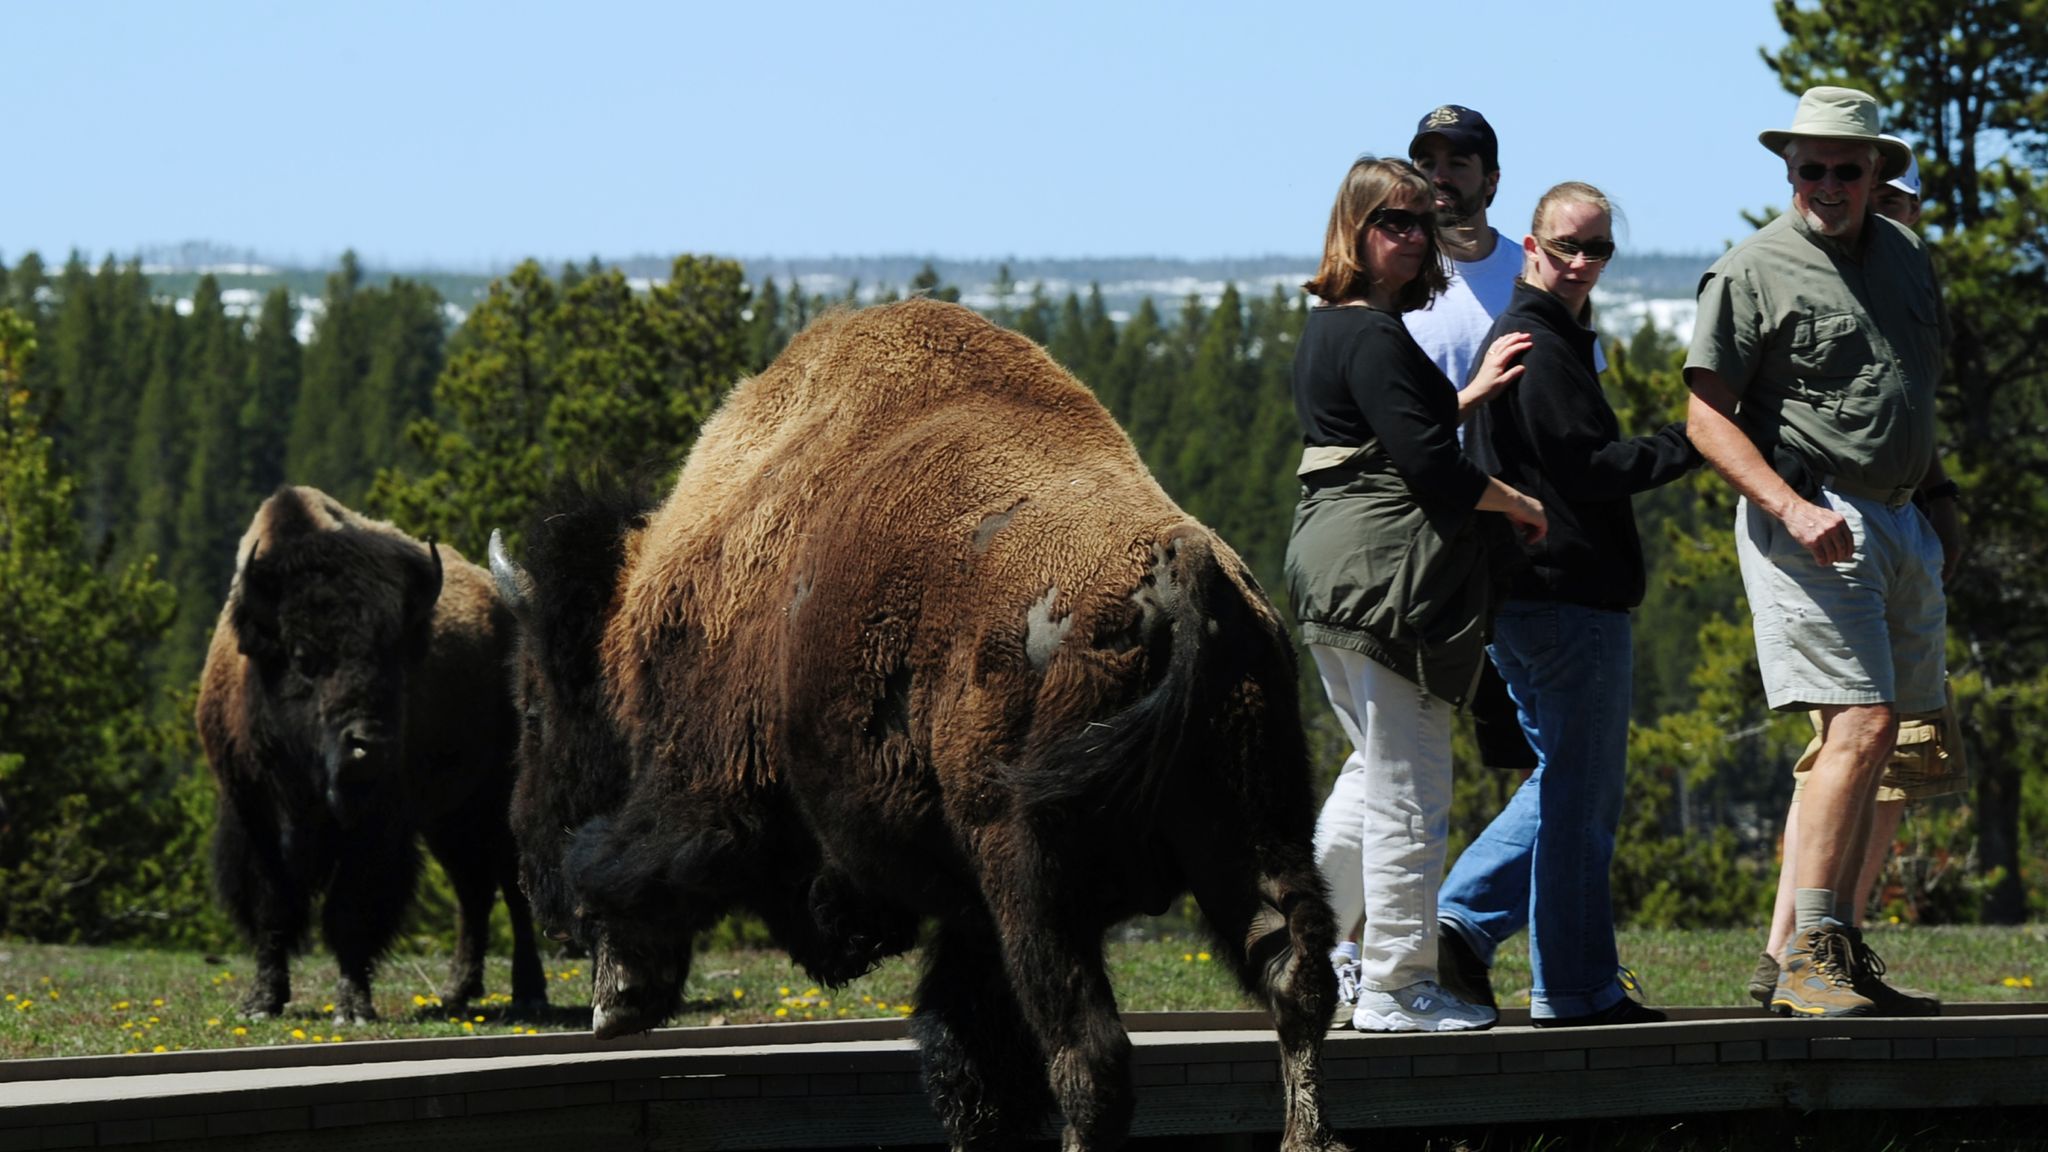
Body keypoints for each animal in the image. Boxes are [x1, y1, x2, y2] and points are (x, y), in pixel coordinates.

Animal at [196, 486, 545, 1023]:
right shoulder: (253, 816)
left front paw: (353, 1006)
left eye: (396, 657)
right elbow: (272, 907)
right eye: (303, 658)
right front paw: (262, 1002)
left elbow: (352, 913)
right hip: (447, 819)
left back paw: (527, 993)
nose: (370, 746)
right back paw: (457, 992)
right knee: (473, 890)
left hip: (493, 801)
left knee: (510, 887)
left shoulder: (378, 826)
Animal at [494, 299, 1347, 1152]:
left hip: (1034, 875)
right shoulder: (970, 918)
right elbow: (970, 1052)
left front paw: (615, 993)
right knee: (1294, 978)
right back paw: (1304, 1135)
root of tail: (1177, 564)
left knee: (1087, 1051)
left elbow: (639, 860)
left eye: (535, 708)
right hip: (1253, 822)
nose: (536, 877)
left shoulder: (709, 778)